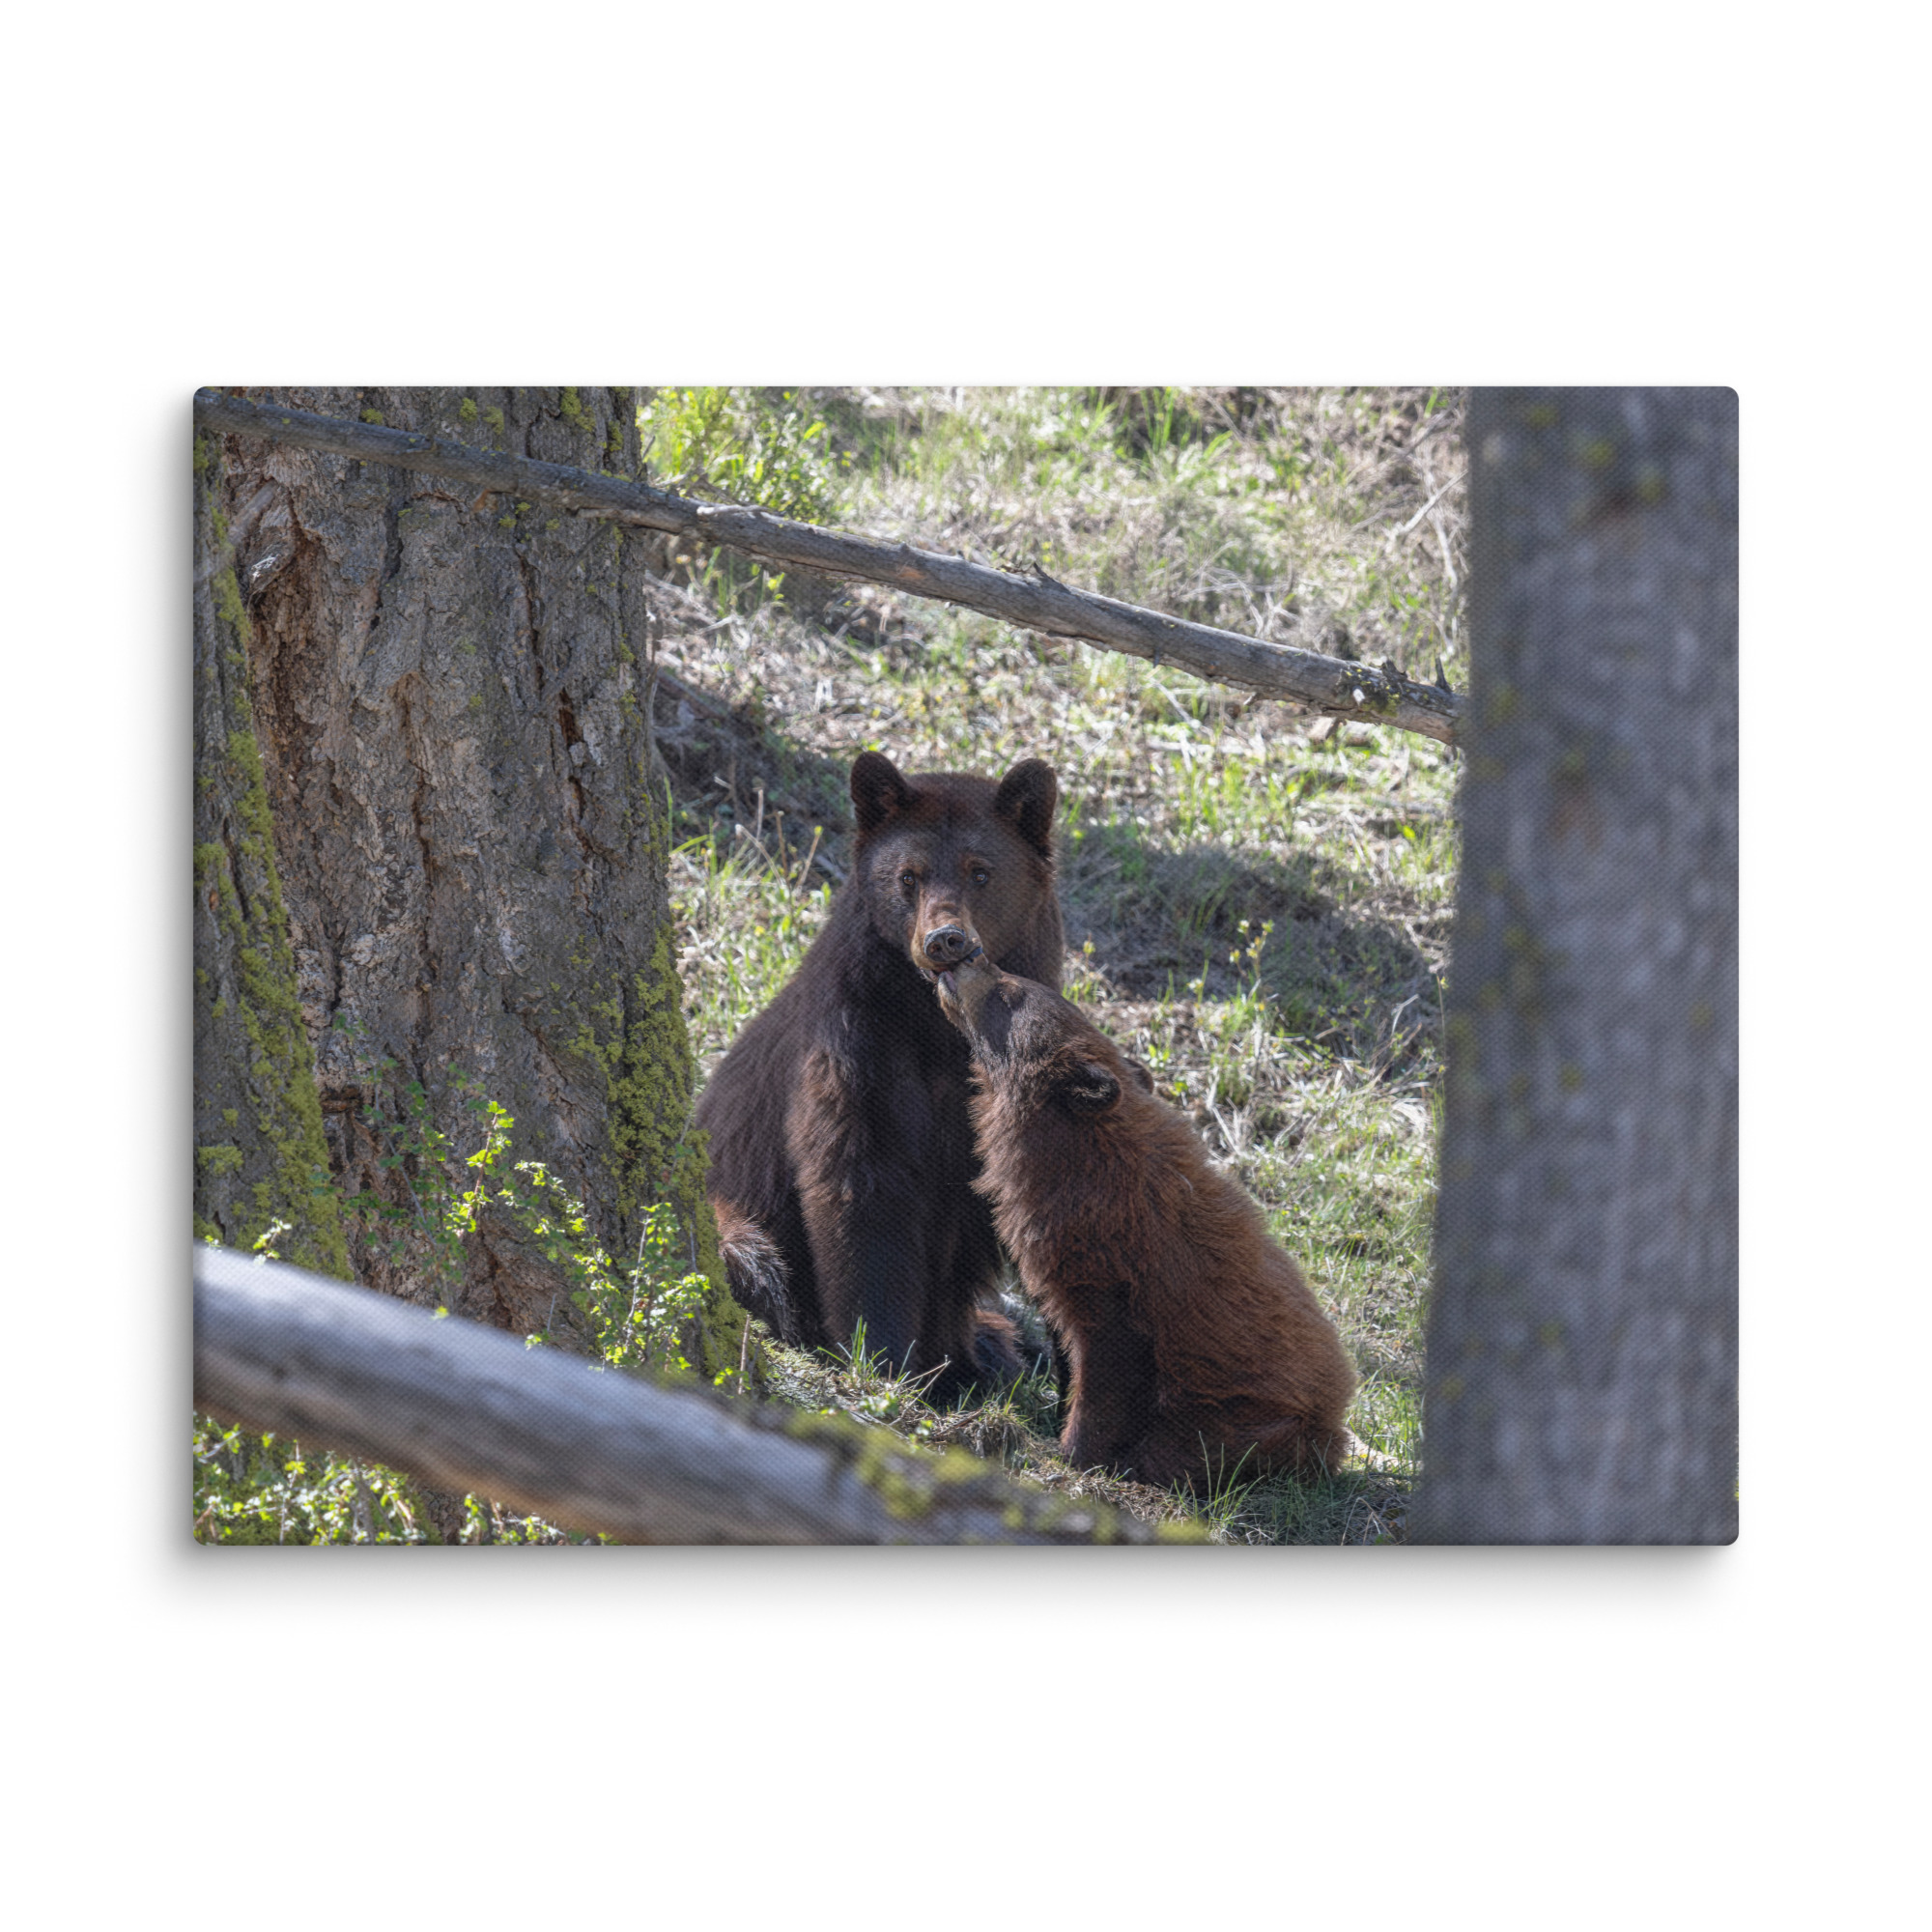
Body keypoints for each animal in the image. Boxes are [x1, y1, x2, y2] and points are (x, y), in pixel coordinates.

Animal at [693, 750, 1064, 1404]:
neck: (938, 1026)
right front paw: (885, 1358)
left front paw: (960, 1357)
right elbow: (862, 1187)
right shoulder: (857, 1043)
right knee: (753, 1259)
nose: (945, 940)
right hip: (731, 1216)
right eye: (909, 876)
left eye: (981, 872)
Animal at [931, 945, 1357, 1491]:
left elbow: (1108, 1363)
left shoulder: (1116, 1270)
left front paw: (1075, 1450)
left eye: (1011, 992)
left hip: (1247, 1419)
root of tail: (1336, 1423)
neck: (1076, 1158)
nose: (971, 955)